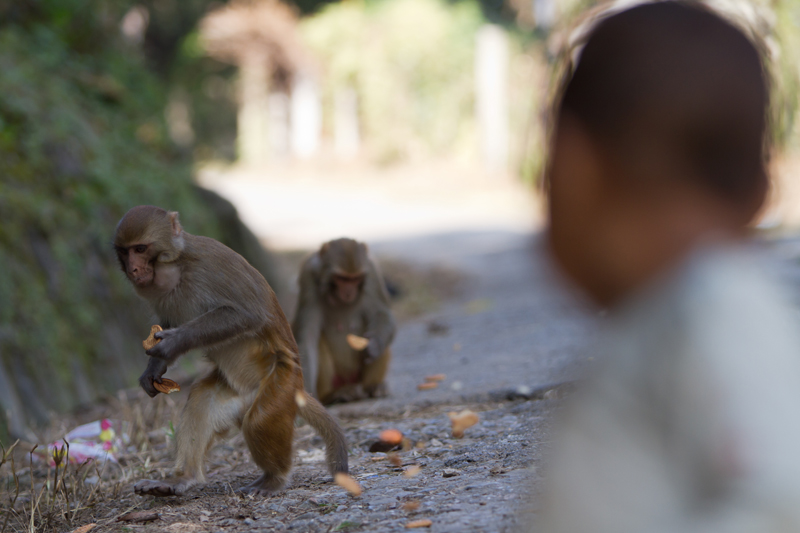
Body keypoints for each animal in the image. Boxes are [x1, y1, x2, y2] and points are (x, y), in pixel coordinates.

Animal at [113, 206, 346, 496]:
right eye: (125, 252)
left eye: (141, 249)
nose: (133, 269)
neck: (177, 269)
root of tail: (299, 387)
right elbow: (165, 323)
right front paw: (154, 368)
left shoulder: (211, 267)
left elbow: (248, 313)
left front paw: (174, 342)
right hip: (235, 393)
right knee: (202, 400)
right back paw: (182, 478)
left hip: (283, 383)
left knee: (259, 420)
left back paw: (274, 478)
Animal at [292, 237, 396, 404]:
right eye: (342, 278)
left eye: (355, 279)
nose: (348, 292)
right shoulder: (307, 277)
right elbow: (306, 338)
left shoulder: (372, 272)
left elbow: (382, 314)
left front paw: (374, 346)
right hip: (337, 379)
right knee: (318, 341)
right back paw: (333, 395)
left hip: (358, 377)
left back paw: (373, 387)